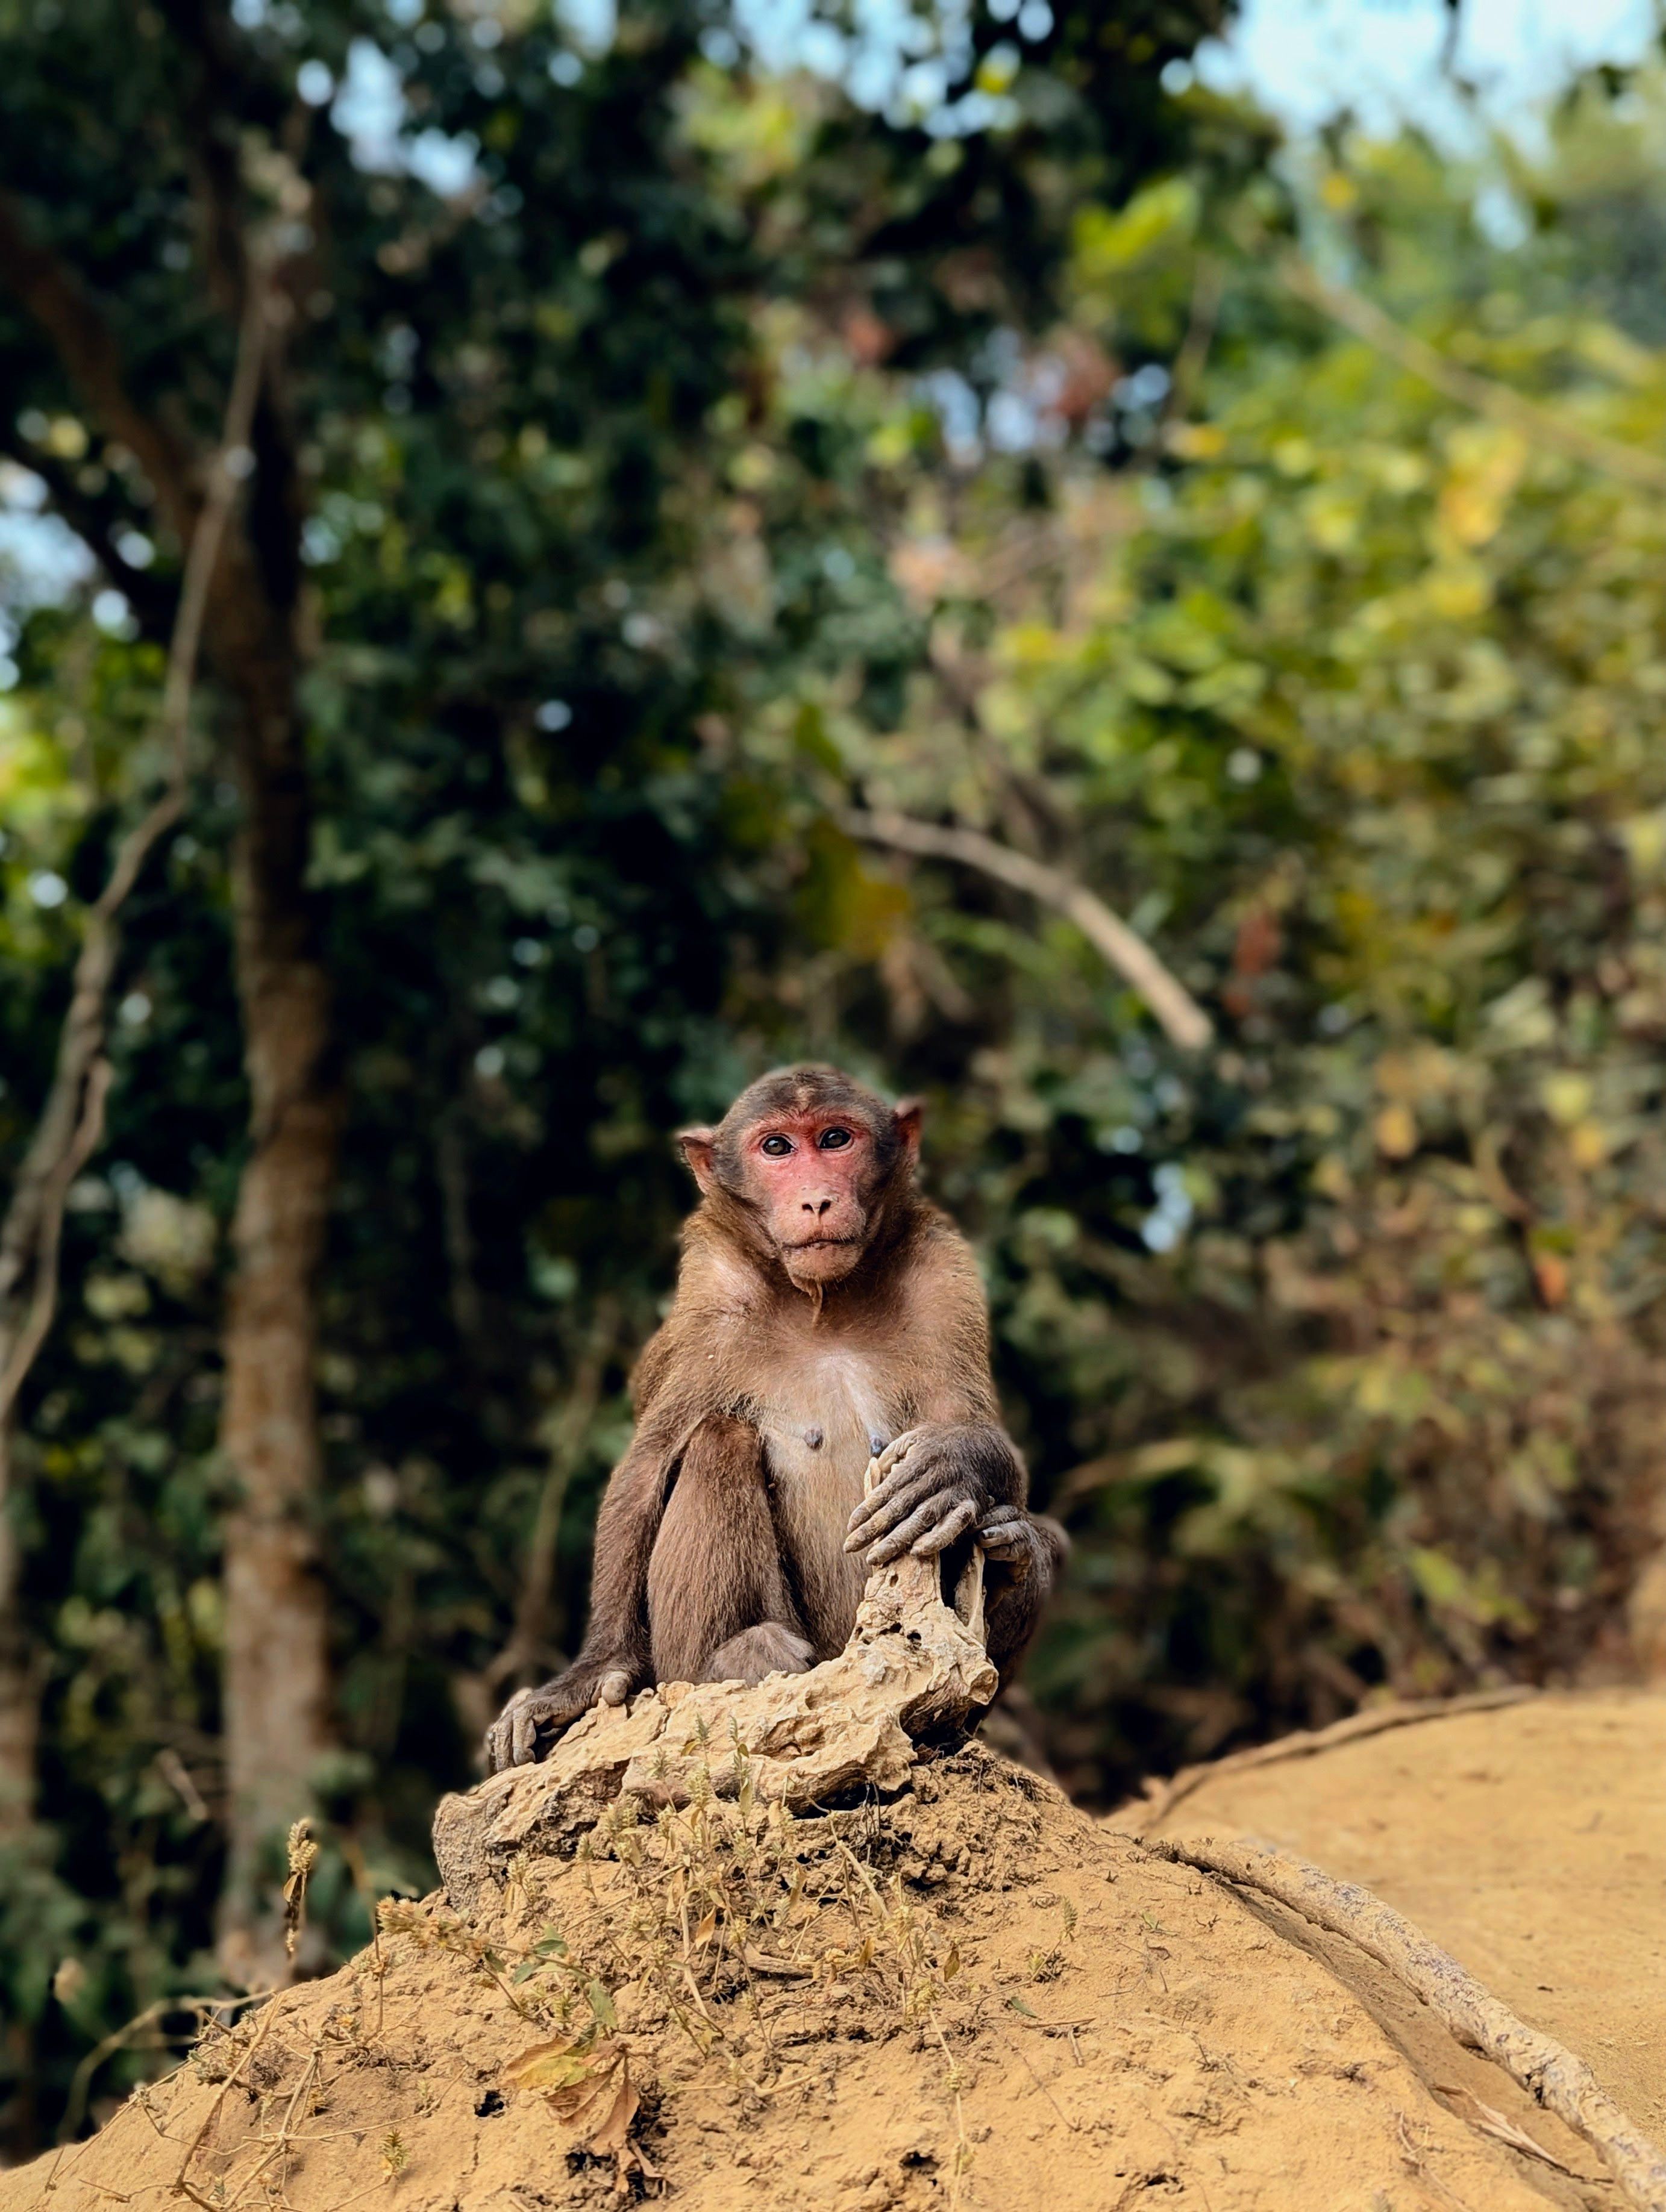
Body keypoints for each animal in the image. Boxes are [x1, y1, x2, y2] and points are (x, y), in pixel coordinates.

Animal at [484, 1065, 1067, 1773]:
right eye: (777, 1149)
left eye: (835, 1139)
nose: (815, 1199)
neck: (823, 1305)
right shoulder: (711, 1289)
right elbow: (647, 1464)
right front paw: (590, 1675)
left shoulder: (942, 1272)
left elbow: (978, 1432)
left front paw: (951, 1469)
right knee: (718, 1438)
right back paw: (736, 1654)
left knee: (1020, 1539)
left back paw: (1011, 1555)